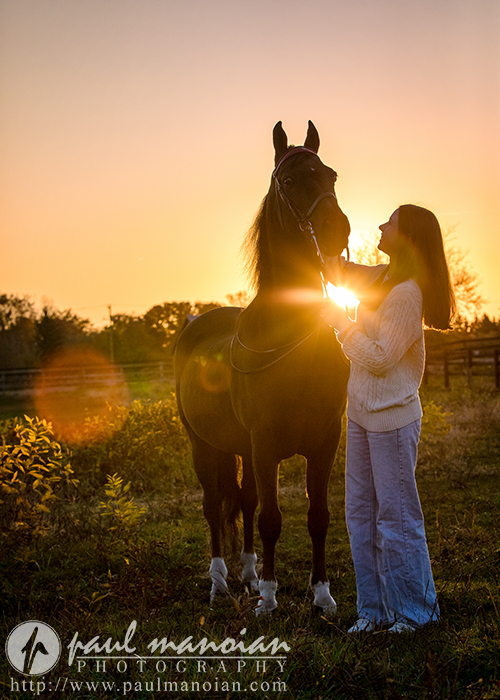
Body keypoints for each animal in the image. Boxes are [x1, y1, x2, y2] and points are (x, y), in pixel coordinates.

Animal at [174, 121, 350, 615]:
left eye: (330, 175)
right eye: (289, 180)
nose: (337, 229)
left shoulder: (325, 440)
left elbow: (317, 516)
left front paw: (322, 596)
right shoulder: (266, 442)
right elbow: (272, 518)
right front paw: (270, 600)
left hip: (239, 448)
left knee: (245, 501)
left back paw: (249, 575)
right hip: (204, 445)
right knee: (213, 507)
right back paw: (220, 583)